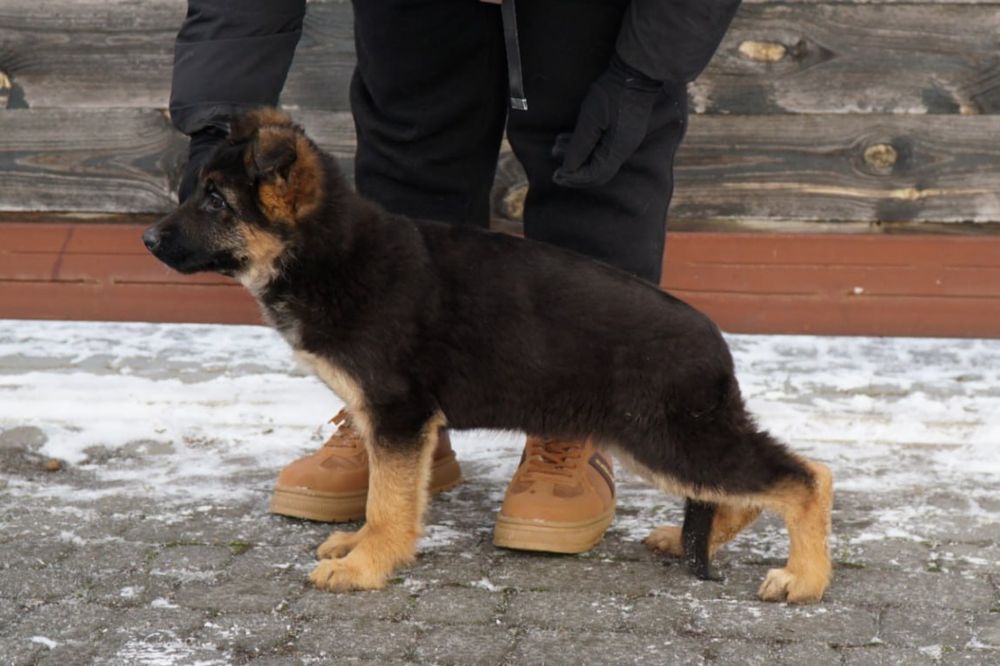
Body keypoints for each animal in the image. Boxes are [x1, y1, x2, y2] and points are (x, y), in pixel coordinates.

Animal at [144, 109, 833, 603]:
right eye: (200, 191)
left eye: (215, 200)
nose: (147, 239)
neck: (328, 250)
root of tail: (714, 341)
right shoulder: (389, 422)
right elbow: (386, 493)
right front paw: (363, 546)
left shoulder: (397, 415)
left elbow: (388, 499)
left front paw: (368, 564)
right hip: (664, 442)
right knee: (756, 486)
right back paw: (692, 541)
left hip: (667, 438)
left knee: (806, 476)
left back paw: (805, 578)